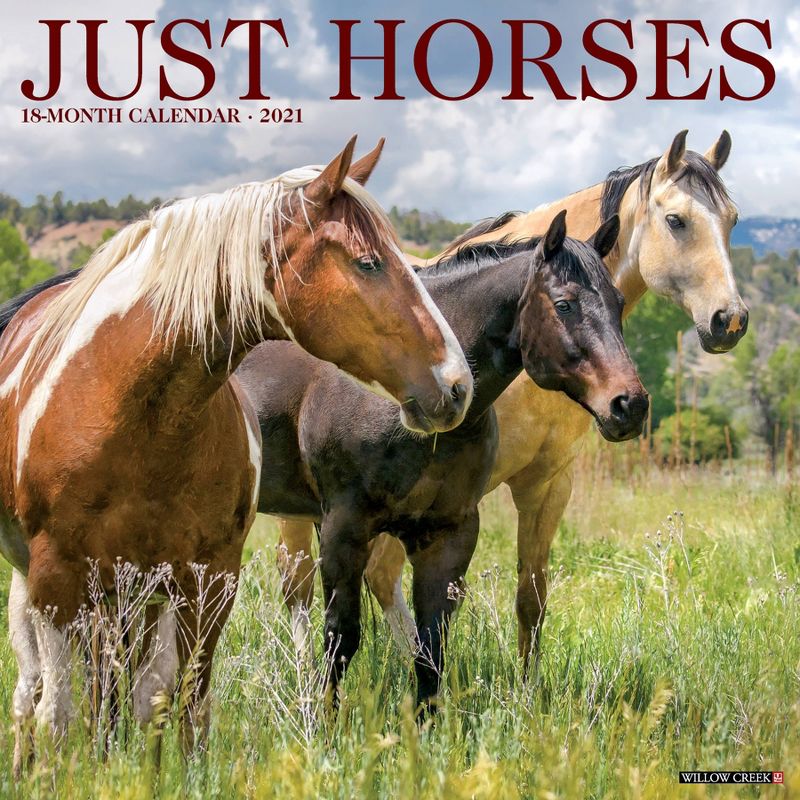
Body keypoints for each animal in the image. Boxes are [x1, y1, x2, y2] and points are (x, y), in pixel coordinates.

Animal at [0, 135, 475, 776]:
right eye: (368, 263)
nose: (456, 385)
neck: (131, 409)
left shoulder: (211, 579)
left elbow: (184, 704)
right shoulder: (55, 580)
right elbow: (57, 714)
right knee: (39, 695)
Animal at [237, 210, 648, 711]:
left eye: (618, 301)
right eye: (565, 304)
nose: (629, 405)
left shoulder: (447, 535)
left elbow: (430, 648)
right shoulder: (344, 529)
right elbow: (342, 638)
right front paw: (325, 723)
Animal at [275, 130, 750, 673]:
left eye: (733, 219)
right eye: (676, 220)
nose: (730, 320)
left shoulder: (546, 485)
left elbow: (531, 598)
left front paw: (525, 688)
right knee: (301, 581)